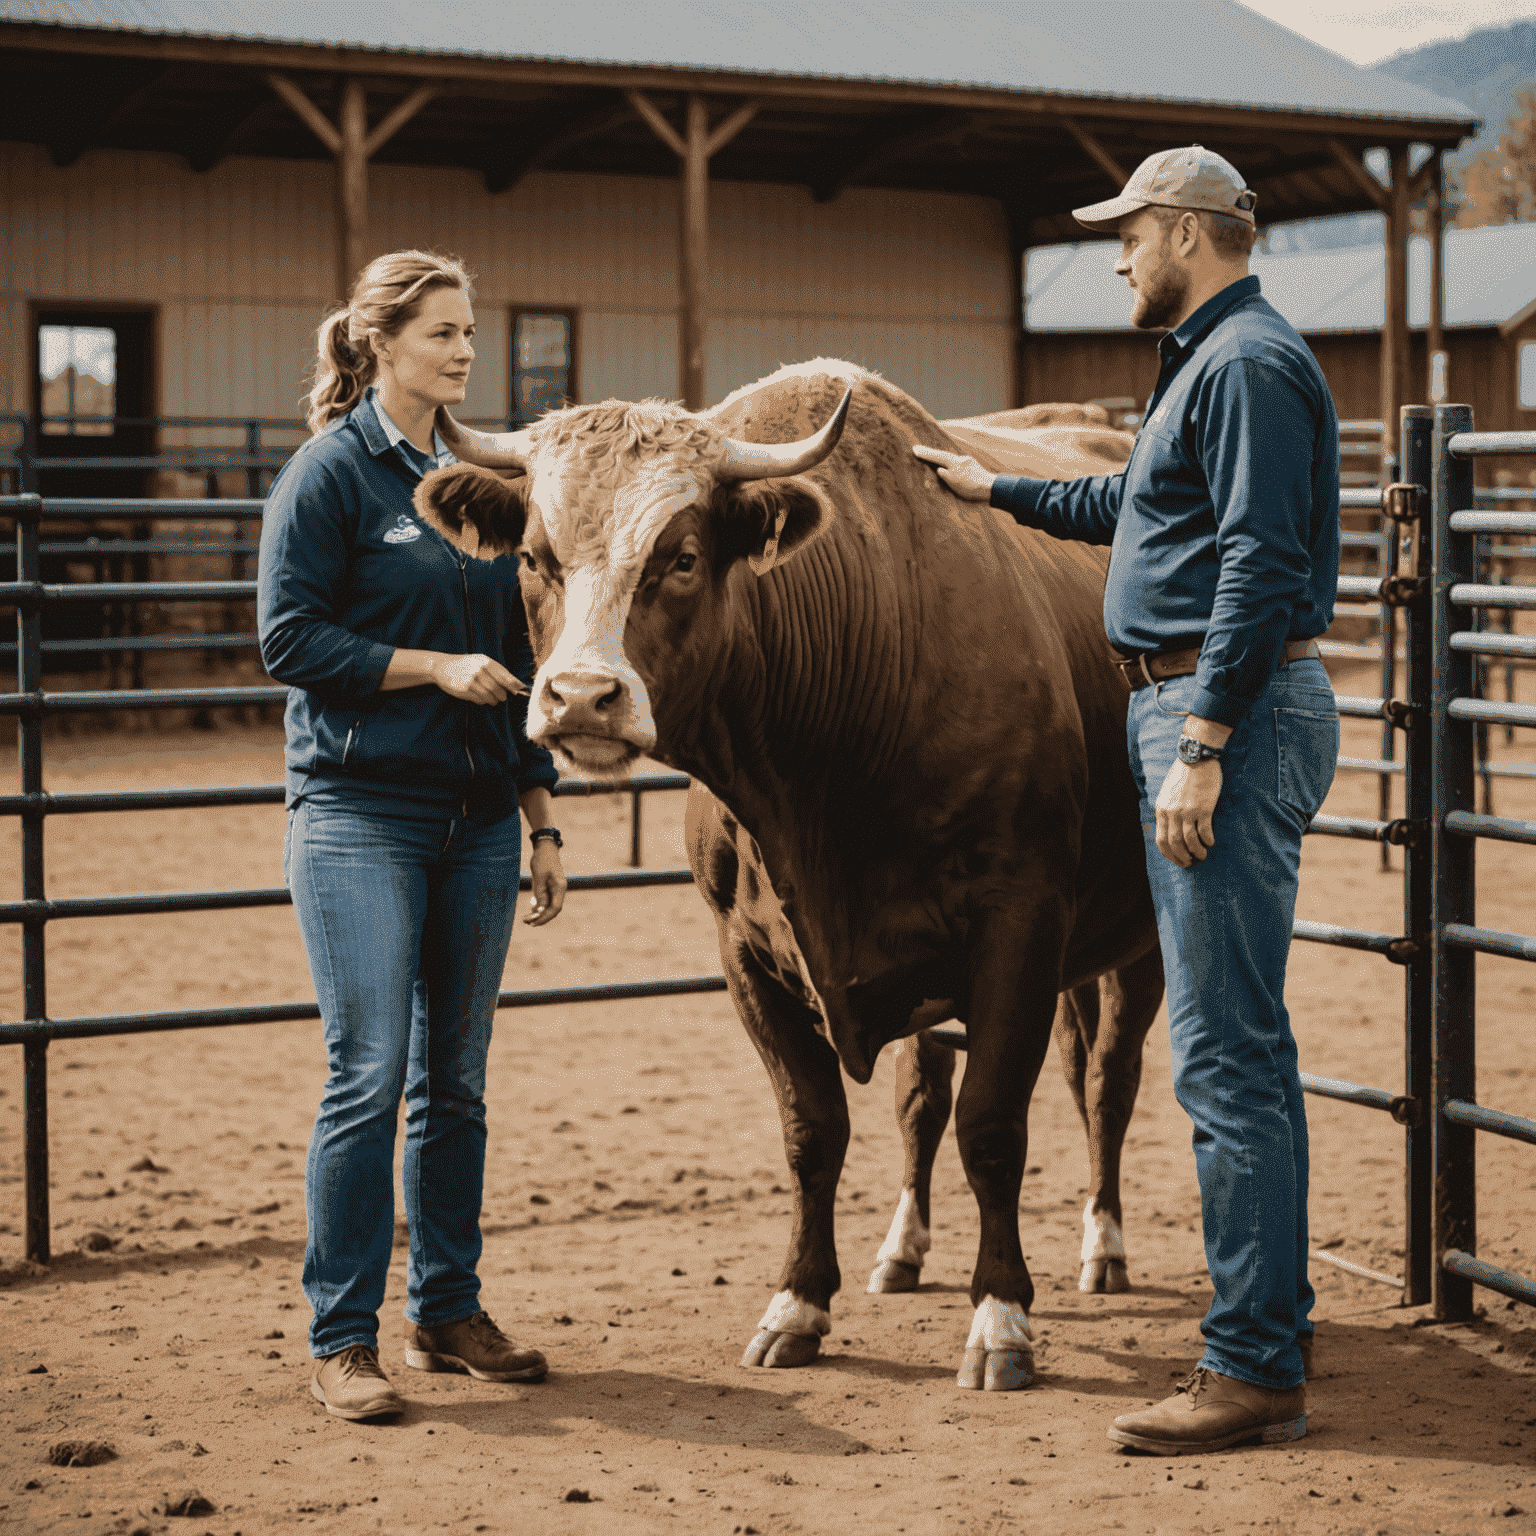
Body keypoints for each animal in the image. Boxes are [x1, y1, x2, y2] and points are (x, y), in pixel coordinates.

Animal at [420, 362, 1161, 1394]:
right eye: (533, 557)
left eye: (683, 557)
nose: (579, 698)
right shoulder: (748, 954)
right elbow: (815, 1132)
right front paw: (799, 1304)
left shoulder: (1018, 928)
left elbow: (993, 1127)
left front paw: (1001, 1317)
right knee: (923, 1102)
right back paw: (903, 1250)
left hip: (1142, 942)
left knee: (1105, 1081)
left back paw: (1104, 1243)